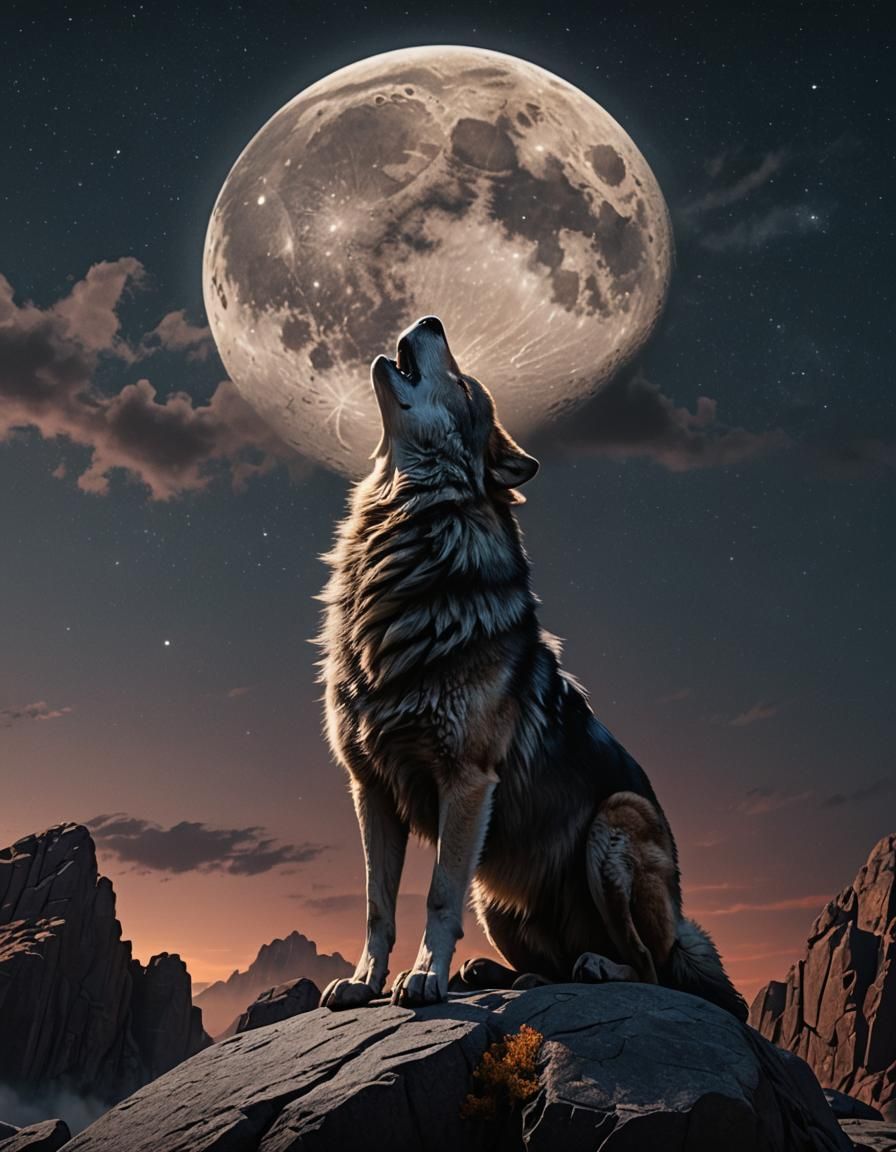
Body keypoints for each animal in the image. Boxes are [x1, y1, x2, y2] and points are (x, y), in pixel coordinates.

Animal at [317, 315, 747, 1021]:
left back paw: (594, 965)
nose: (432, 319)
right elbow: (378, 904)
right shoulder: (369, 786)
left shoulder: (466, 782)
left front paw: (424, 978)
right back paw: (504, 974)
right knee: (553, 963)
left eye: (465, 385)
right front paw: (363, 982)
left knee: (650, 968)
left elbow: (436, 896)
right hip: (496, 894)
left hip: (613, 822)